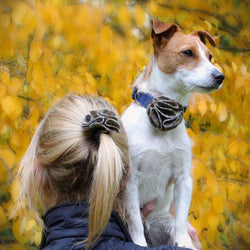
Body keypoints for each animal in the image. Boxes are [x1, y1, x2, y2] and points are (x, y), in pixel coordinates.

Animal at [121, 20, 225, 250]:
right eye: (188, 52)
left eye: (209, 56)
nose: (220, 76)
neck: (163, 118)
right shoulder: (130, 180)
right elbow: (135, 222)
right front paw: (139, 243)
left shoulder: (183, 178)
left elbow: (181, 221)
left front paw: (183, 242)